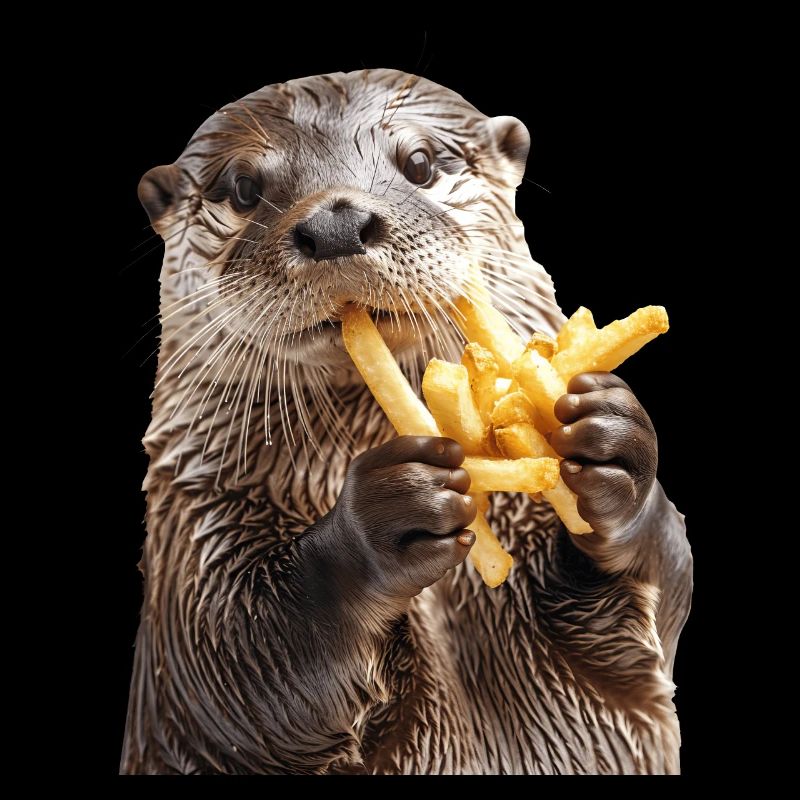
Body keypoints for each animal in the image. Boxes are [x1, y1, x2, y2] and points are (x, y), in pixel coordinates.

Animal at [121, 69, 693, 775]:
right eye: (244, 187)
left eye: (419, 162)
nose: (336, 223)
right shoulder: (196, 533)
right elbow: (233, 661)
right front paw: (390, 506)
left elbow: (665, 596)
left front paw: (615, 442)